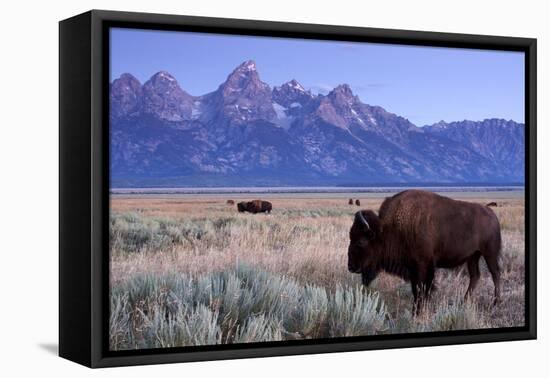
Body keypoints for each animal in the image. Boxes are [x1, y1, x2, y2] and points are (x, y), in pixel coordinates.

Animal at [350, 189, 504, 314]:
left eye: (361, 241)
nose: (351, 266)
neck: (389, 229)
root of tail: (492, 215)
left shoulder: (424, 265)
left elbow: (423, 289)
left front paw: (418, 312)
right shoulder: (413, 268)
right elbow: (416, 290)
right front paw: (416, 311)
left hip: (489, 253)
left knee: (495, 273)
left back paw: (495, 303)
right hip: (473, 256)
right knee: (475, 276)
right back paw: (464, 302)